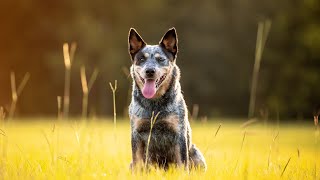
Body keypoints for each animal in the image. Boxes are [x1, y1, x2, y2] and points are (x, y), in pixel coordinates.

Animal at [128, 27, 206, 171]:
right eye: (141, 59)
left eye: (160, 59)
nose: (150, 71)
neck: (154, 105)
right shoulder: (136, 134)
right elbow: (138, 164)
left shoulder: (179, 134)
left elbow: (182, 164)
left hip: (197, 155)